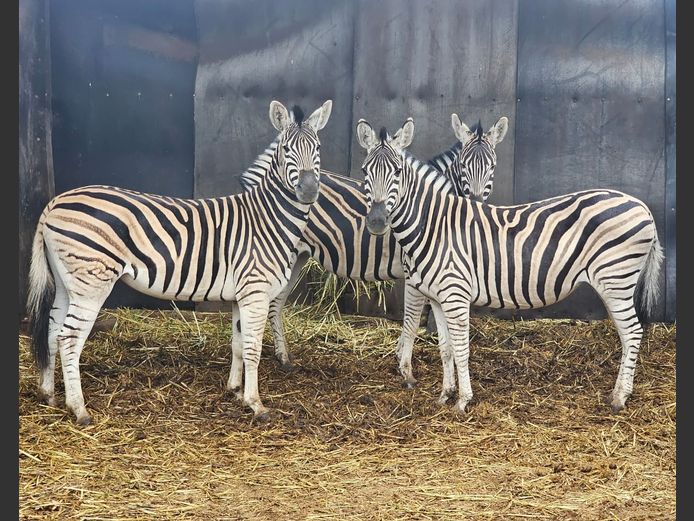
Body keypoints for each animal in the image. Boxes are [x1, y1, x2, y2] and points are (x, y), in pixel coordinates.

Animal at [26, 99, 333, 424]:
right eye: (286, 149)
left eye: (318, 147)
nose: (309, 191)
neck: (267, 220)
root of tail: (54, 203)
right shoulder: (255, 291)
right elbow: (253, 348)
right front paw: (255, 404)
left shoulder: (240, 295)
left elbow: (237, 344)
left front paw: (235, 392)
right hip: (92, 281)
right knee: (69, 338)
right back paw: (79, 409)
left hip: (66, 281)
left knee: (51, 331)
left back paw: (48, 395)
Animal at [239, 115, 508, 393]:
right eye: (464, 165)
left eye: (493, 166)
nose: (476, 204)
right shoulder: (414, 272)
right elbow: (413, 318)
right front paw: (406, 369)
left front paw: (400, 354)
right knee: (270, 302)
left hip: (298, 256)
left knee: (276, 302)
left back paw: (284, 357)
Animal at [356, 116, 663, 415]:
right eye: (364, 171)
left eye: (397, 172)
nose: (377, 222)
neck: (434, 225)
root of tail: (642, 206)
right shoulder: (437, 298)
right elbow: (445, 348)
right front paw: (445, 395)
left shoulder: (455, 295)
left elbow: (461, 349)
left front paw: (463, 400)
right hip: (615, 283)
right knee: (627, 334)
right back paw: (619, 393)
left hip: (616, 280)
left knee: (632, 332)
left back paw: (620, 399)